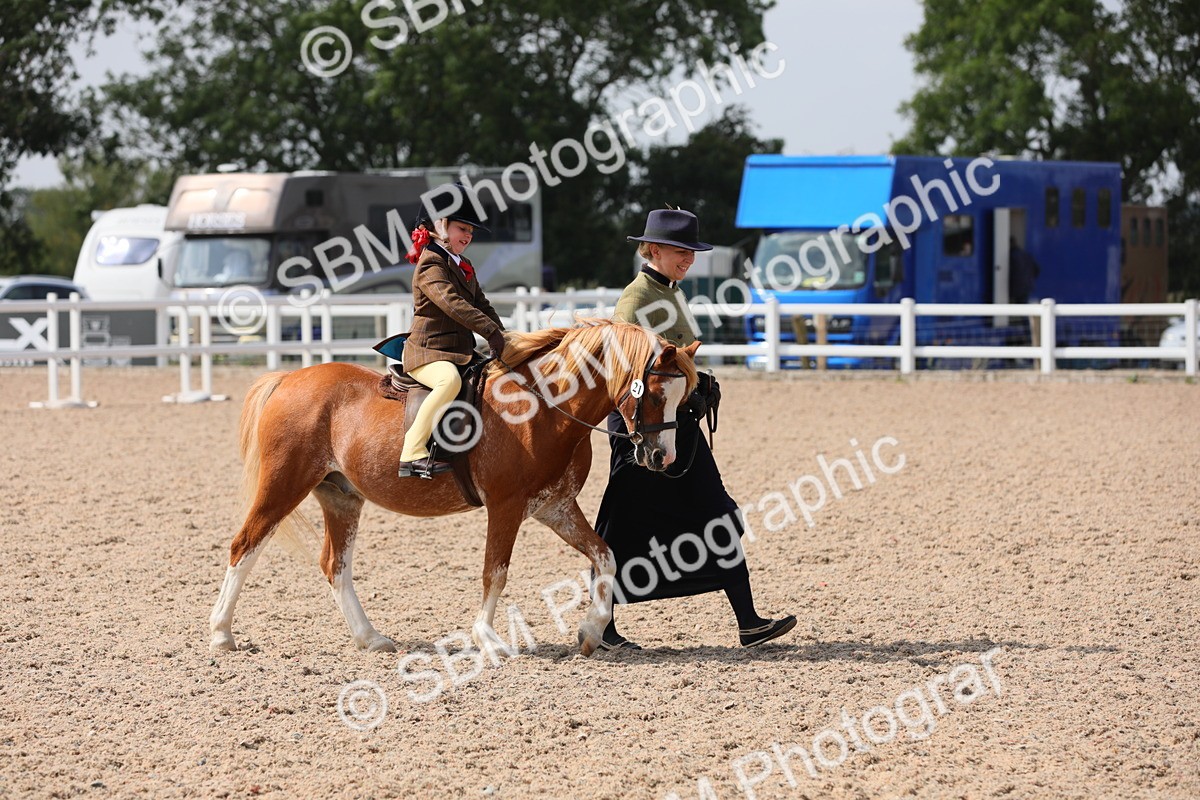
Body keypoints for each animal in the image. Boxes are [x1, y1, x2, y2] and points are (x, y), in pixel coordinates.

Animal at [208, 320, 700, 657]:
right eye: (656, 394)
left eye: (684, 398)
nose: (662, 457)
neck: (544, 407)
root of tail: (288, 379)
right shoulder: (506, 508)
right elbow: (495, 572)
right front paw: (488, 639)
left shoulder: (555, 507)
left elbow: (606, 556)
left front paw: (591, 631)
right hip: (283, 486)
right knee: (244, 546)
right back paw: (221, 634)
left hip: (341, 497)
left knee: (335, 565)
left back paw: (371, 638)